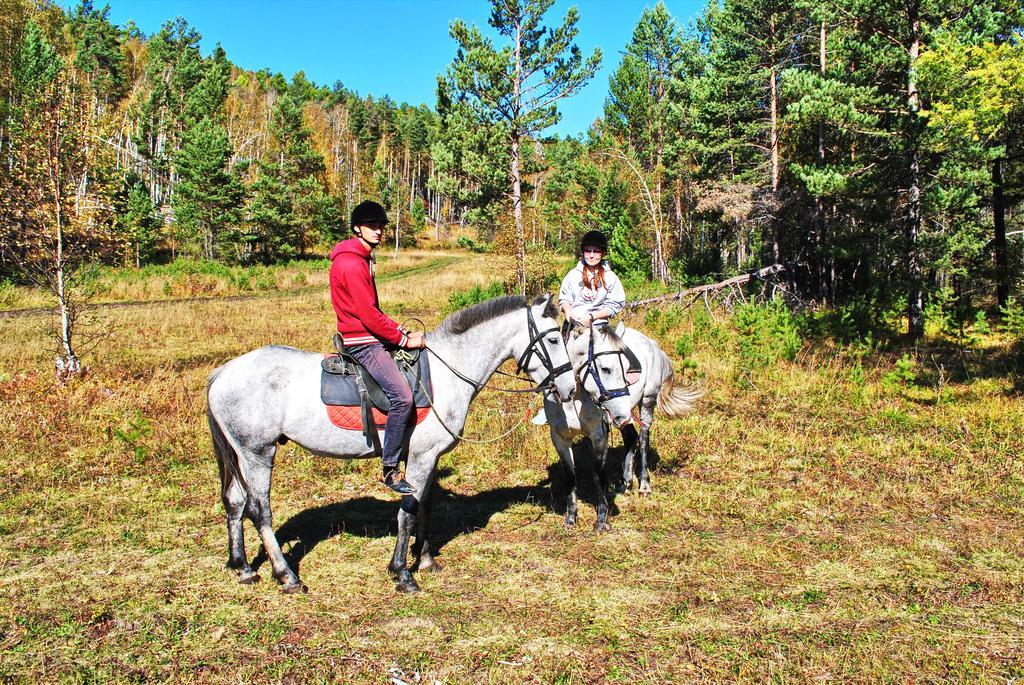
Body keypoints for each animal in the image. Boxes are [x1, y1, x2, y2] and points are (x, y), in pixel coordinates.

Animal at [205, 294, 577, 593]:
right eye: (554, 338)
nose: (570, 388)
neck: (448, 372)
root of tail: (223, 372)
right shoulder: (420, 458)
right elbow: (408, 512)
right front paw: (402, 573)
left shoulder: (428, 457)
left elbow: (425, 506)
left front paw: (424, 559)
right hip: (257, 453)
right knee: (259, 511)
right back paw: (287, 576)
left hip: (239, 455)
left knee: (235, 502)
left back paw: (243, 567)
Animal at [544, 321, 704, 528]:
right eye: (605, 369)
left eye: (625, 369)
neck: (572, 400)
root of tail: (653, 344)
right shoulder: (559, 438)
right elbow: (570, 476)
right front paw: (570, 519)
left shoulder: (599, 436)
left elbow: (599, 474)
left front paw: (602, 519)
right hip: (622, 417)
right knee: (631, 438)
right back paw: (625, 482)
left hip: (644, 402)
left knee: (643, 439)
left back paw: (644, 485)